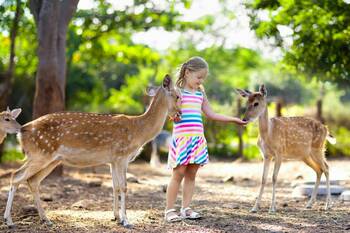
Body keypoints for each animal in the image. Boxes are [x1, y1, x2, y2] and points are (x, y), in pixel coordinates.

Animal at [2, 74, 182, 228]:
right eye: (178, 96)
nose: (179, 113)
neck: (139, 131)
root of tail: (21, 131)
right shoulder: (122, 156)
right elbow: (124, 186)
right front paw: (126, 221)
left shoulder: (112, 160)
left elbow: (115, 186)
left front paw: (116, 217)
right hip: (40, 154)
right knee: (16, 175)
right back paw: (9, 221)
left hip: (50, 159)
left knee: (32, 181)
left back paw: (45, 219)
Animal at [237, 85, 334, 213]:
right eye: (247, 102)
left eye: (256, 103)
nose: (244, 119)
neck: (269, 133)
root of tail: (326, 129)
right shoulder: (266, 155)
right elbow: (263, 178)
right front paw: (254, 208)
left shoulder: (279, 152)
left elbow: (274, 177)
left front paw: (272, 208)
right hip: (306, 155)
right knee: (319, 170)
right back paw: (309, 204)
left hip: (317, 148)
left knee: (326, 168)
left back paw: (328, 205)